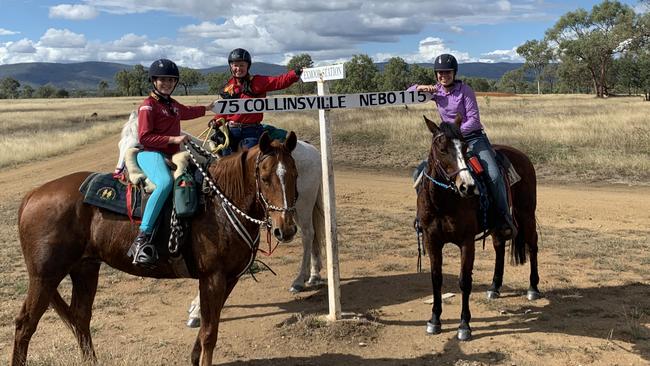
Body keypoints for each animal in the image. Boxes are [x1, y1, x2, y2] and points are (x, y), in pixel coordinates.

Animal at [10, 130, 298, 364]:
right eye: (265, 177)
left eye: (295, 174)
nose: (285, 229)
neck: (220, 204)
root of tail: (32, 195)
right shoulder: (213, 278)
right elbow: (209, 333)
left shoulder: (230, 279)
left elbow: (207, 326)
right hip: (45, 276)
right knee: (25, 324)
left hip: (85, 269)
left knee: (80, 318)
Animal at [418, 116, 540, 342]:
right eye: (442, 149)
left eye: (465, 148)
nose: (467, 187)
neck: (443, 202)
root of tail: (521, 155)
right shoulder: (432, 240)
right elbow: (436, 278)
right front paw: (434, 320)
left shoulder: (466, 242)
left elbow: (465, 281)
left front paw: (464, 325)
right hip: (498, 226)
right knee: (500, 247)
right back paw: (494, 287)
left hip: (527, 214)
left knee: (533, 246)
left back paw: (533, 288)